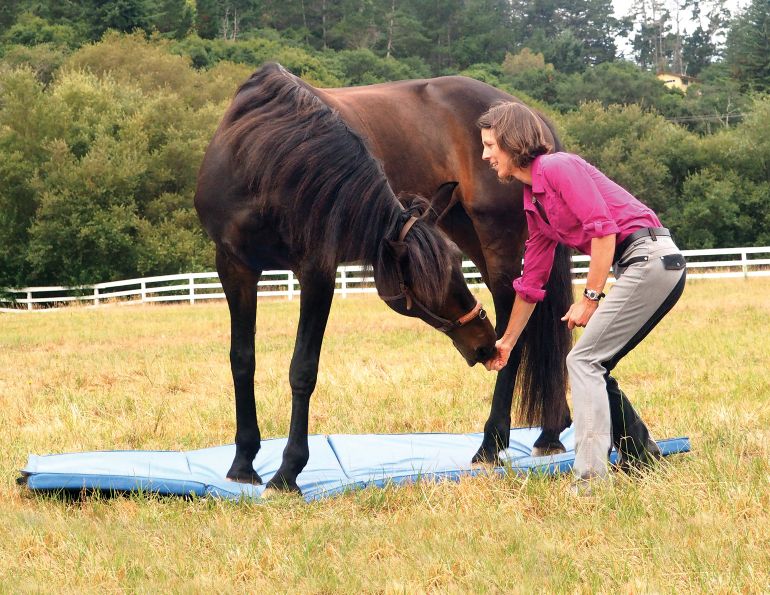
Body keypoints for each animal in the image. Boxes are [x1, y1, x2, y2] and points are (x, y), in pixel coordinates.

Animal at [194, 63, 498, 493]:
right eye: (428, 284)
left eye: (458, 264)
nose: (486, 343)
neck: (264, 164)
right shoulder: (234, 265)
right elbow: (242, 360)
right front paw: (244, 464)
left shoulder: (317, 270)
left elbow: (302, 369)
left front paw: (287, 472)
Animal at [313, 74, 575, 461]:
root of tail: (533, 117)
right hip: (463, 230)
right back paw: (552, 431)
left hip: (498, 240)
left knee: (515, 324)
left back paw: (492, 442)